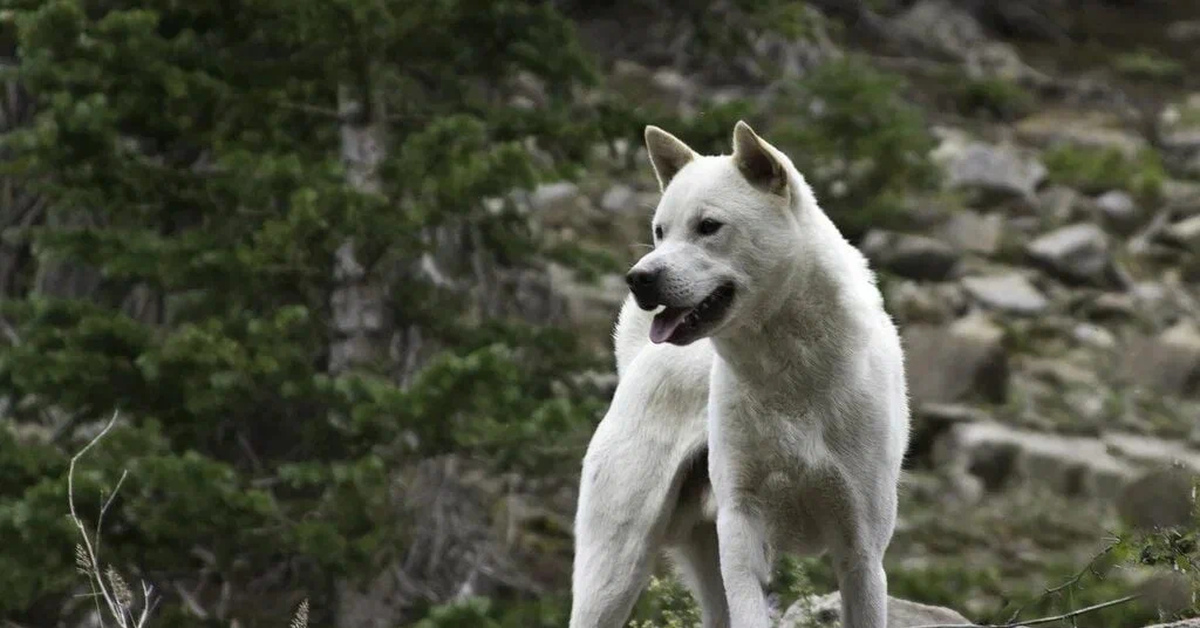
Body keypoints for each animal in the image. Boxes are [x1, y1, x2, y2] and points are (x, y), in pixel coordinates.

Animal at [566, 119, 902, 628]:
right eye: (660, 231)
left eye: (708, 227)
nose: (638, 278)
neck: (787, 377)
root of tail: (637, 360)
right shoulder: (743, 527)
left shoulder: (861, 548)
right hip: (616, 565)